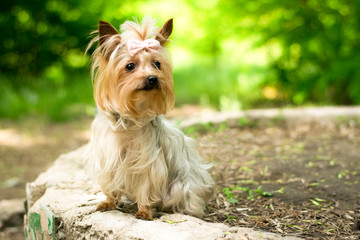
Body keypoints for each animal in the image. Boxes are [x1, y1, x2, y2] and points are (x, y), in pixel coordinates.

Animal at [84, 16, 214, 219]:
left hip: (181, 185)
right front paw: (108, 202)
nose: (153, 78)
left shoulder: (148, 161)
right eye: (130, 66)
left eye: (157, 64)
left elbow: (146, 185)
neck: (128, 118)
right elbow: (110, 184)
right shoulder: (108, 158)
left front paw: (144, 211)